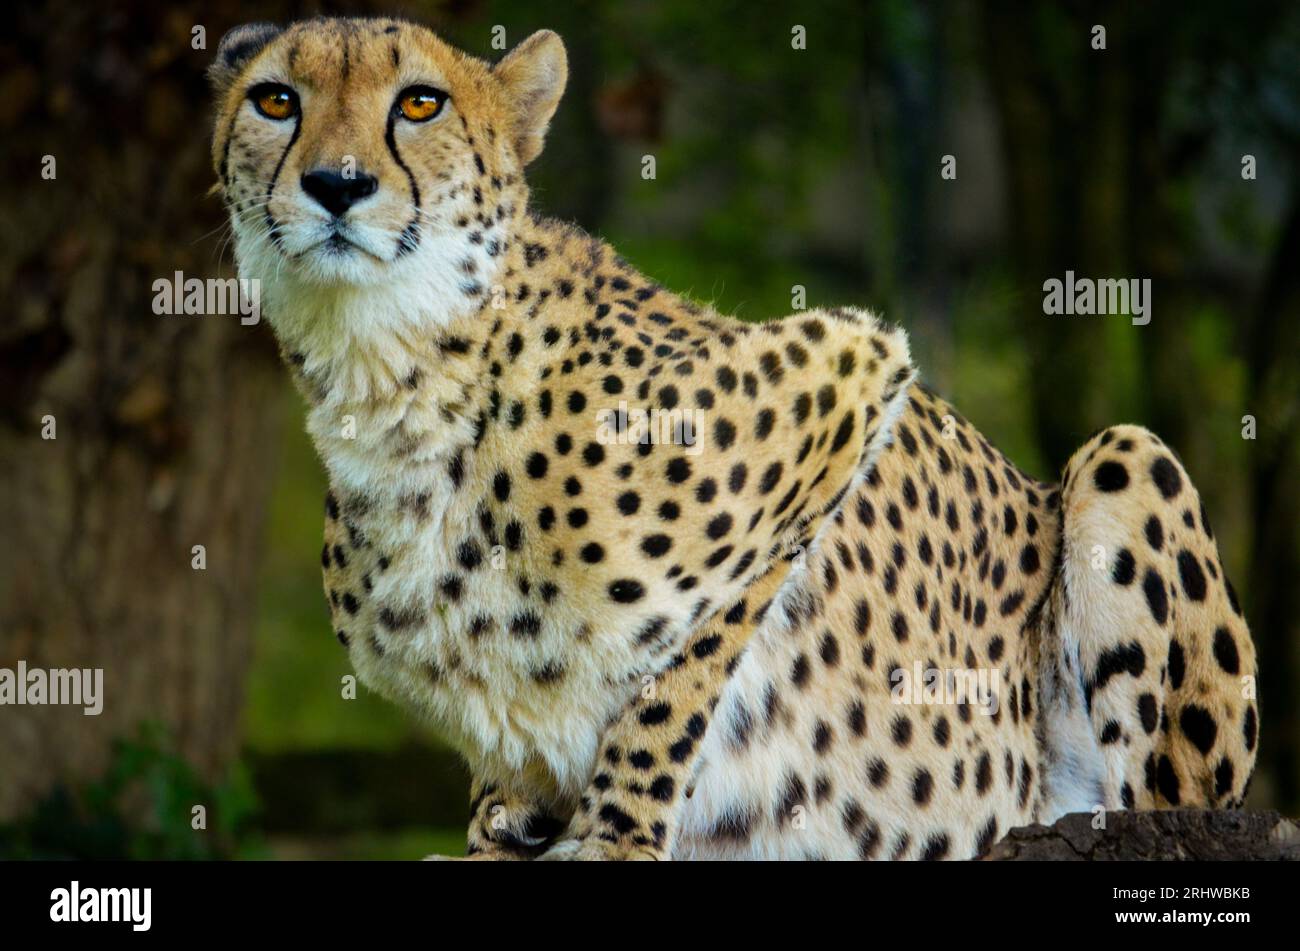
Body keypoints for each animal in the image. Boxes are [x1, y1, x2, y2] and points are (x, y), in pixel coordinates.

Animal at [210, 16, 1258, 862]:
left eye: (419, 103)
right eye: (277, 99)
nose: (336, 185)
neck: (391, 373)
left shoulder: (850, 376)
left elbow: (676, 676)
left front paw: (615, 832)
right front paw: (504, 825)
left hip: (1128, 466)